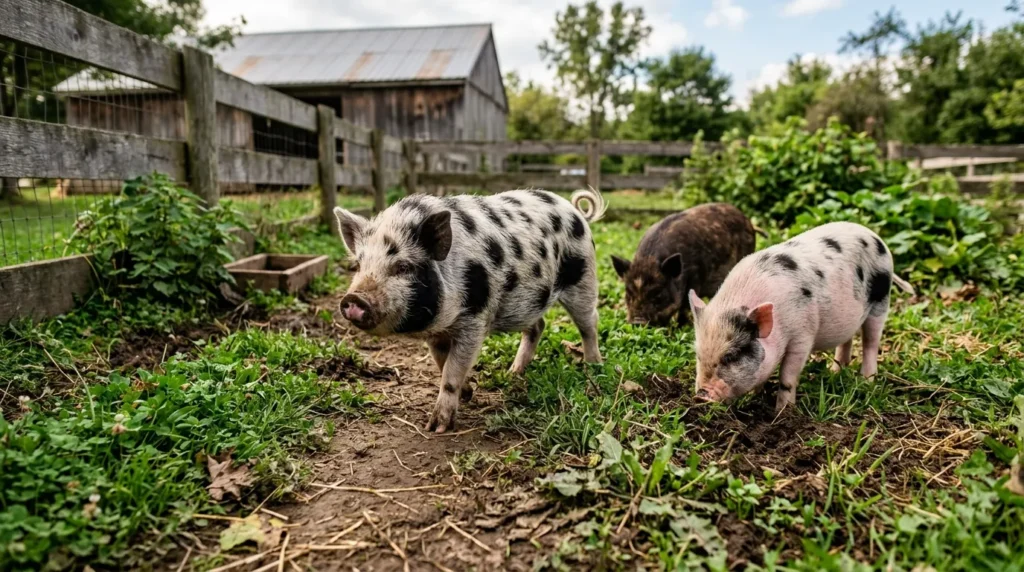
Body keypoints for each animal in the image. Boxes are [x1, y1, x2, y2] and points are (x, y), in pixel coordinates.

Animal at [332, 188, 607, 433]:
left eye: (403, 267)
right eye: (358, 265)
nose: (354, 299)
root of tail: (575, 210)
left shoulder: (475, 319)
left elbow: (453, 368)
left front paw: (436, 427)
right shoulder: (437, 333)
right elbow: (441, 362)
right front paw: (467, 393)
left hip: (583, 279)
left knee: (590, 322)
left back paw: (593, 366)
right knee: (538, 326)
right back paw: (513, 373)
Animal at [610, 203, 761, 327]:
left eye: (658, 294)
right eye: (628, 293)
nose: (637, 322)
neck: (649, 259)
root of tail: (749, 222)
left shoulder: (695, 277)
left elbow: (685, 305)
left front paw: (681, 326)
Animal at [687, 221, 914, 414]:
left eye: (731, 356)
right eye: (698, 355)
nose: (700, 396)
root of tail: (876, 237)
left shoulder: (802, 335)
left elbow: (787, 376)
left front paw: (782, 412)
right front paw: (754, 397)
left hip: (881, 301)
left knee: (870, 343)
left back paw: (866, 381)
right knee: (847, 340)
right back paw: (835, 372)